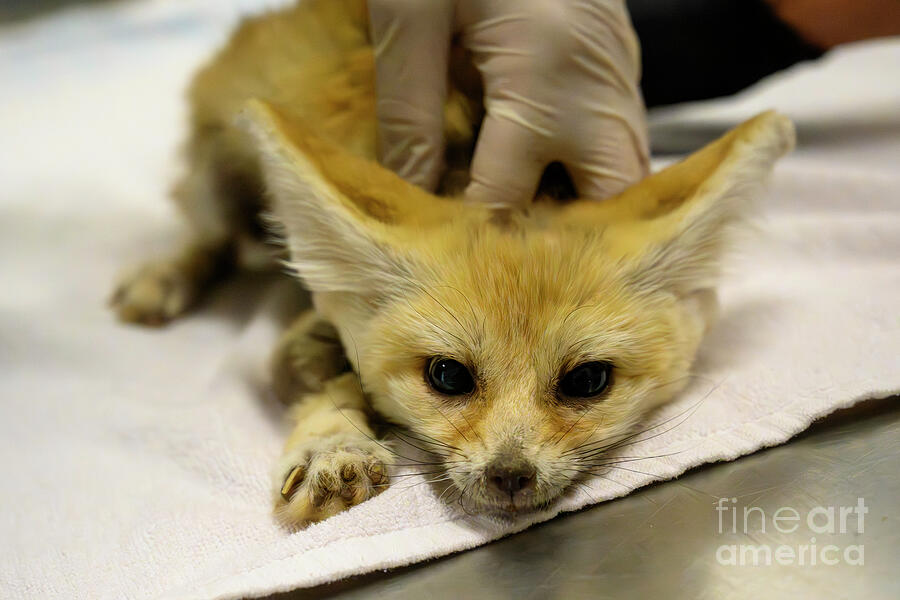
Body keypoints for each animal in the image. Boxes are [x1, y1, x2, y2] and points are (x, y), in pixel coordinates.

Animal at [110, 0, 794, 527]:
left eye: (586, 381)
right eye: (447, 376)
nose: (510, 475)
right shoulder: (305, 334)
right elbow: (326, 380)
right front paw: (331, 443)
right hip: (216, 176)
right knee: (212, 237)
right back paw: (166, 274)